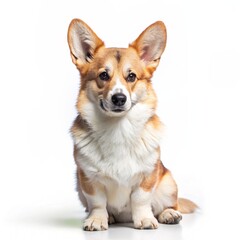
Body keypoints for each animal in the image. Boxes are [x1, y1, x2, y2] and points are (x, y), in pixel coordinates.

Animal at [67, 19, 197, 231]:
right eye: (103, 76)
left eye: (131, 77)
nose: (119, 98)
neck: (117, 128)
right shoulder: (88, 179)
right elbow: (97, 203)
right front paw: (97, 220)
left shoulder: (147, 175)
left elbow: (141, 199)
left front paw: (144, 219)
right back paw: (111, 217)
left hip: (168, 183)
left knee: (169, 204)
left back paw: (169, 214)